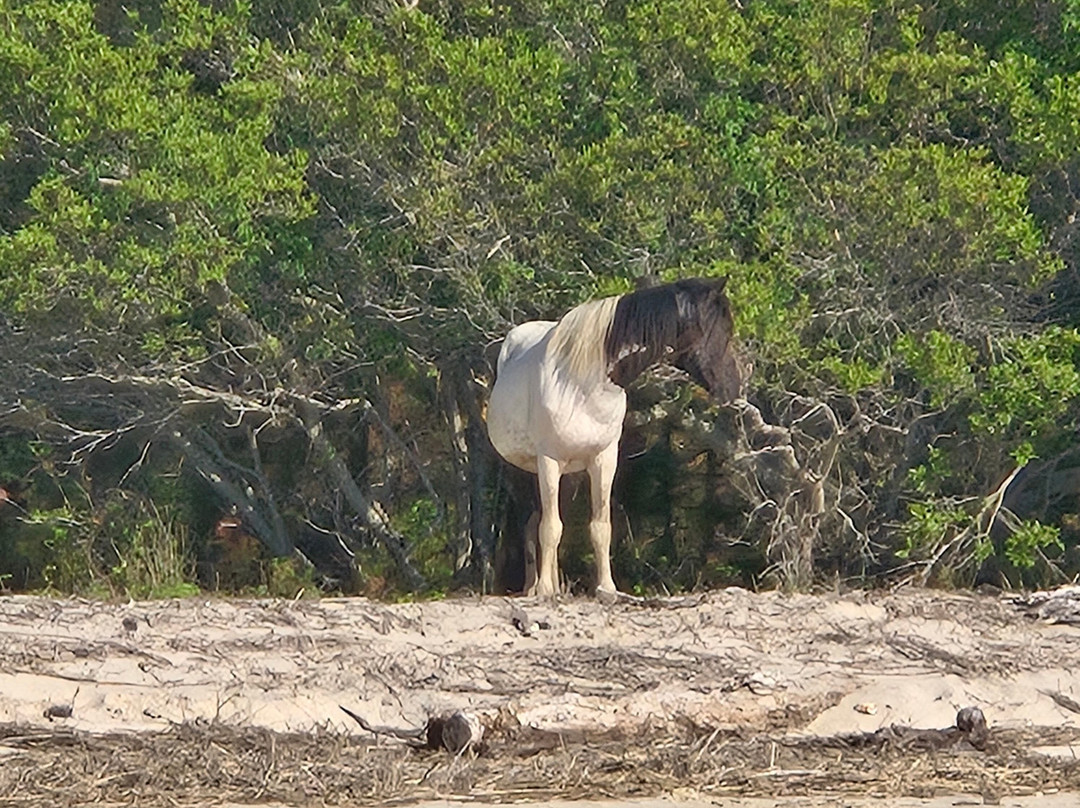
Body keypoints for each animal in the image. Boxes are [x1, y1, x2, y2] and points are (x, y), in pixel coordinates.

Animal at [486, 277, 741, 597]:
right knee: (533, 524)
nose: (735, 387)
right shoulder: (549, 461)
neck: (583, 383)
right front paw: (543, 589)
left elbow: (600, 527)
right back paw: (537, 587)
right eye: (721, 329)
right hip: (527, 471)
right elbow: (550, 528)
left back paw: (555, 586)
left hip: (569, 474)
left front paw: (606, 587)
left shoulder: (603, 460)